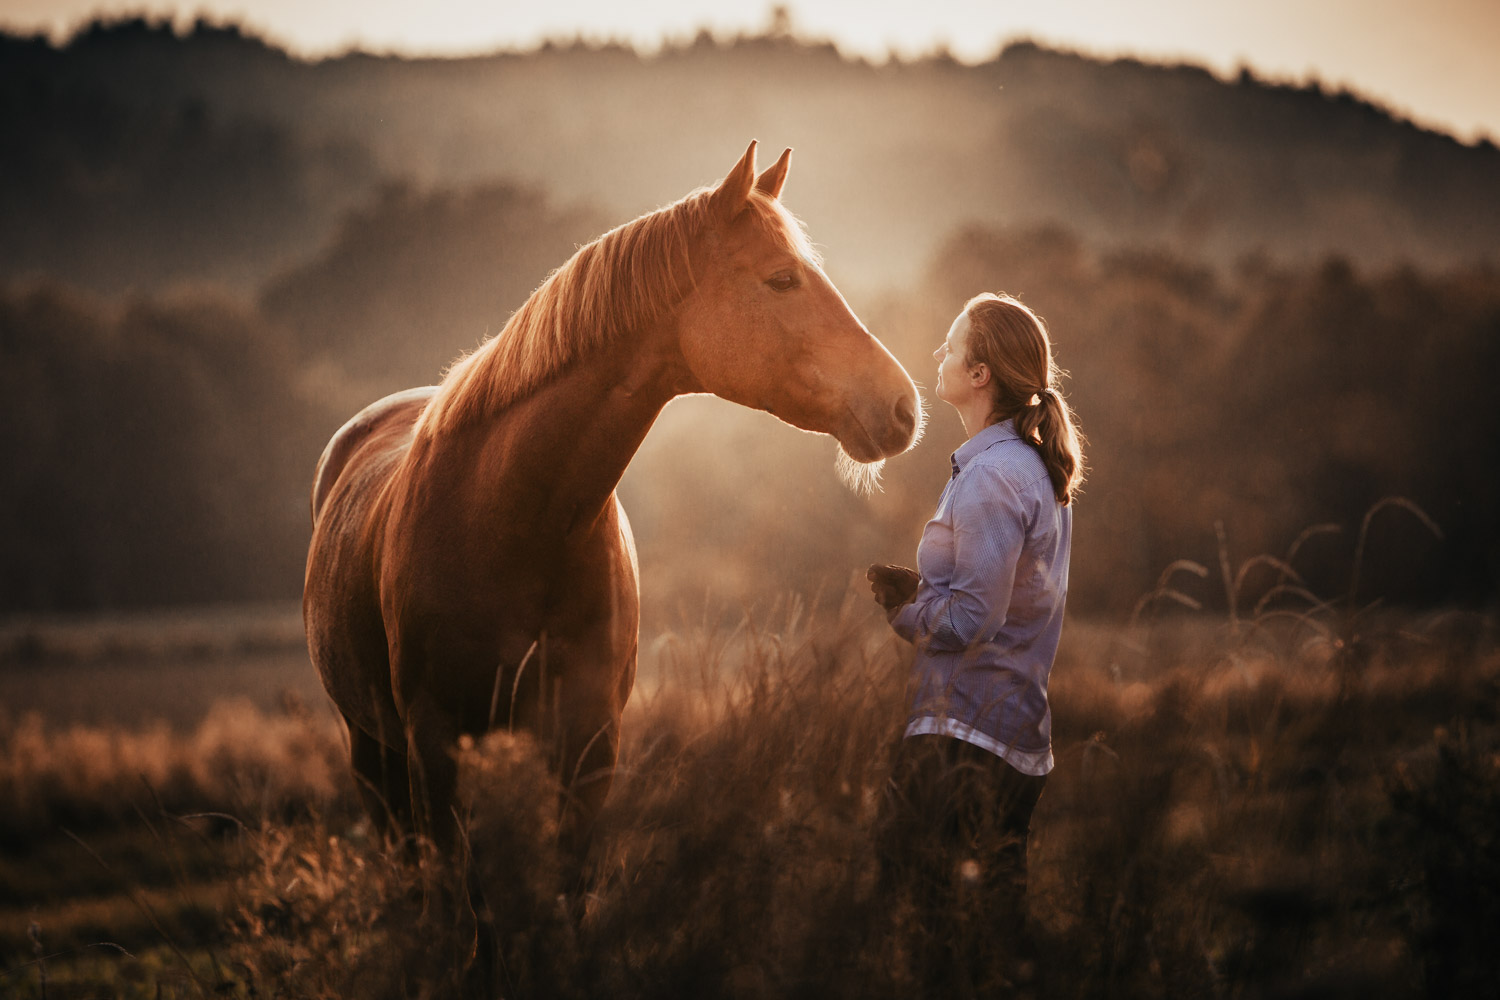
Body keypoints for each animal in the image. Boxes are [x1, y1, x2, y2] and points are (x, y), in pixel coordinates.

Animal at [303, 142, 918, 869]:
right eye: (782, 279)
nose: (904, 406)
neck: (509, 518)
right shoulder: (434, 743)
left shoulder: (589, 745)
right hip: (372, 748)